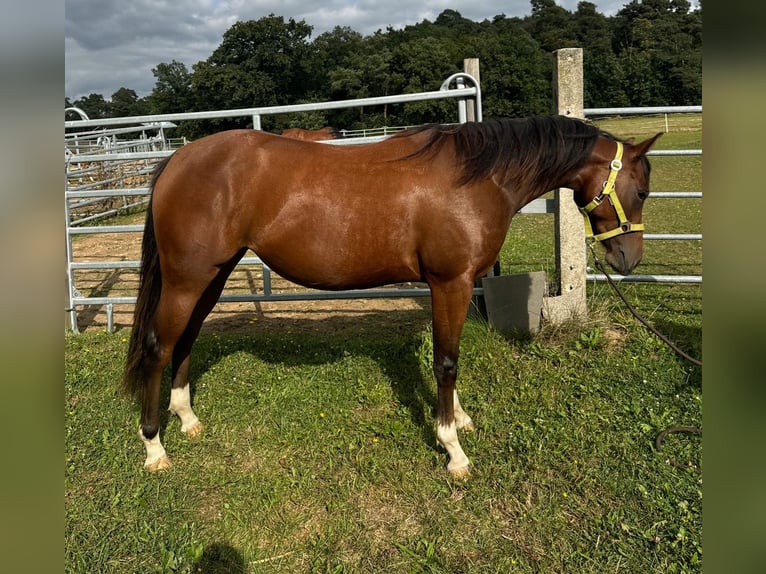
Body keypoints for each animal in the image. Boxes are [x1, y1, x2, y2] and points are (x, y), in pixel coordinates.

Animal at [123, 115, 664, 480]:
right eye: (641, 191)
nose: (628, 258)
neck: (477, 176)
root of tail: (177, 160)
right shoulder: (451, 282)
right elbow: (446, 361)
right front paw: (452, 450)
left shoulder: (451, 285)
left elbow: (447, 355)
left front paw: (459, 419)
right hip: (188, 279)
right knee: (158, 347)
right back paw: (154, 447)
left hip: (211, 277)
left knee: (186, 340)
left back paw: (187, 419)